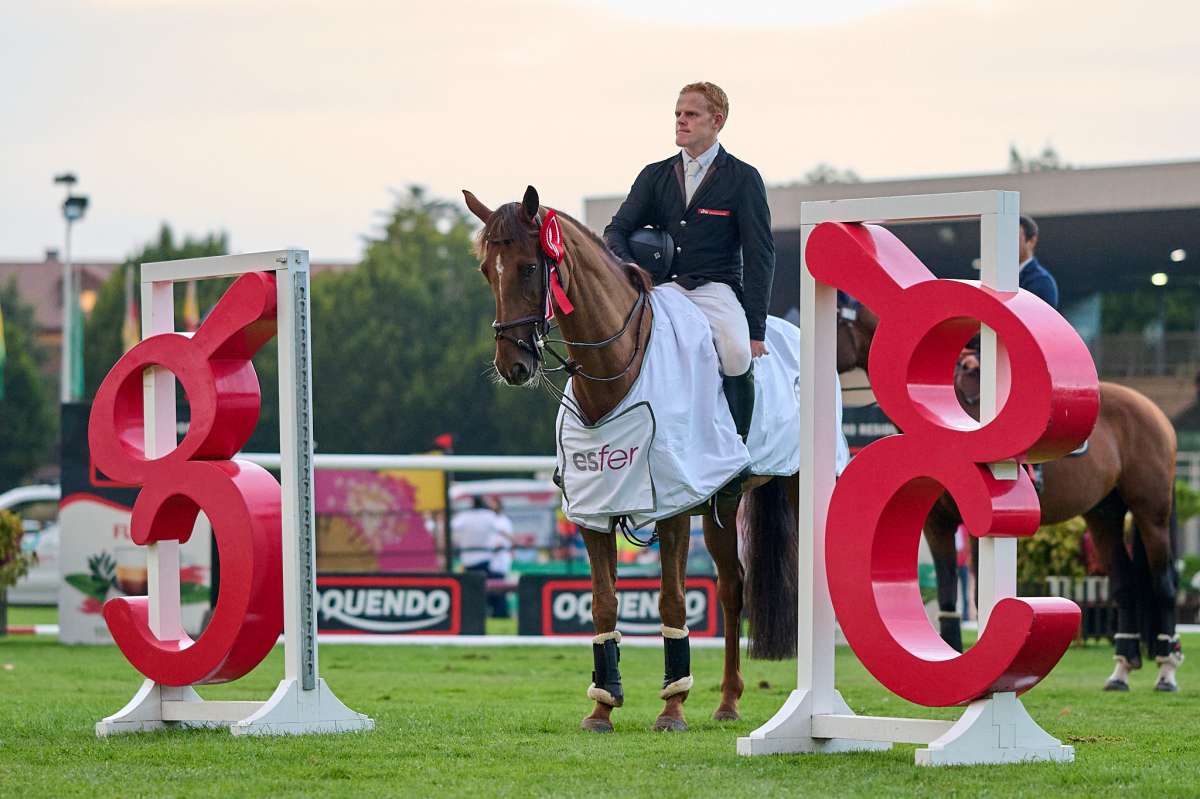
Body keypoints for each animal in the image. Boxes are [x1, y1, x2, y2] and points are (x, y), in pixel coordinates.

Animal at [463, 184, 801, 729]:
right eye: (485, 270)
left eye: (529, 268)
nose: (512, 365)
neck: (612, 370)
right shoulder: (593, 510)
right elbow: (603, 603)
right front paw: (603, 705)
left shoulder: (675, 508)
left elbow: (672, 601)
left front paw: (673, 707)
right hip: (724, 504)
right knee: (732, 587)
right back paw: (728, 701)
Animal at [840, 299, 1185, 691]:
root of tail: (1155, 412)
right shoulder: (937, 524)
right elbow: (947, 592)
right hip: (1103, 516)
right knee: (1125, 583)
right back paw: (1120, 671)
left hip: (1150, 512)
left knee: (1163, 584)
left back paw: (1166, 669)